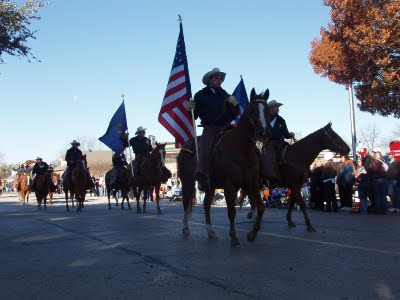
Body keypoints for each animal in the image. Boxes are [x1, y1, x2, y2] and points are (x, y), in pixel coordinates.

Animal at [178, 88, 272, 247]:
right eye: (252, 110)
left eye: (267, 111)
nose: (263, 134)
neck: (241, 150)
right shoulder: (230, 186)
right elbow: (231, 212)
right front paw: (234, 238)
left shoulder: (253, 184)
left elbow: (260, 207)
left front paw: (252, 234)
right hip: (187, 182)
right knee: (185, 202)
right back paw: (185, 228)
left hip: (209, 186)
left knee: (206, 205)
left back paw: (210, 231)